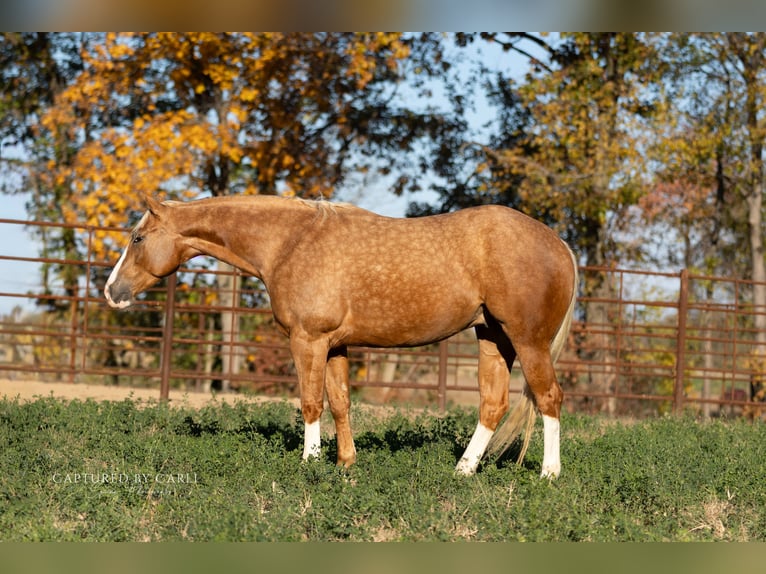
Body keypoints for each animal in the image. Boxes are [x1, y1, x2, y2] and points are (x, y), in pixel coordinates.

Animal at [104, 194, 578, 478]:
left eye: (137, 237)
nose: (111, 292)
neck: (289, 243)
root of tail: (559, 244)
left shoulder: (308, 341)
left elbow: (311, 403)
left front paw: (309, 462)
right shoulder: (335, 345)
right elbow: (340, 402)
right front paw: (345, 464)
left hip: (527, 341)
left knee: (549, 398)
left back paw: (549, 474)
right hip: (492, 338)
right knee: (493, 405)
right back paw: (462, 470)